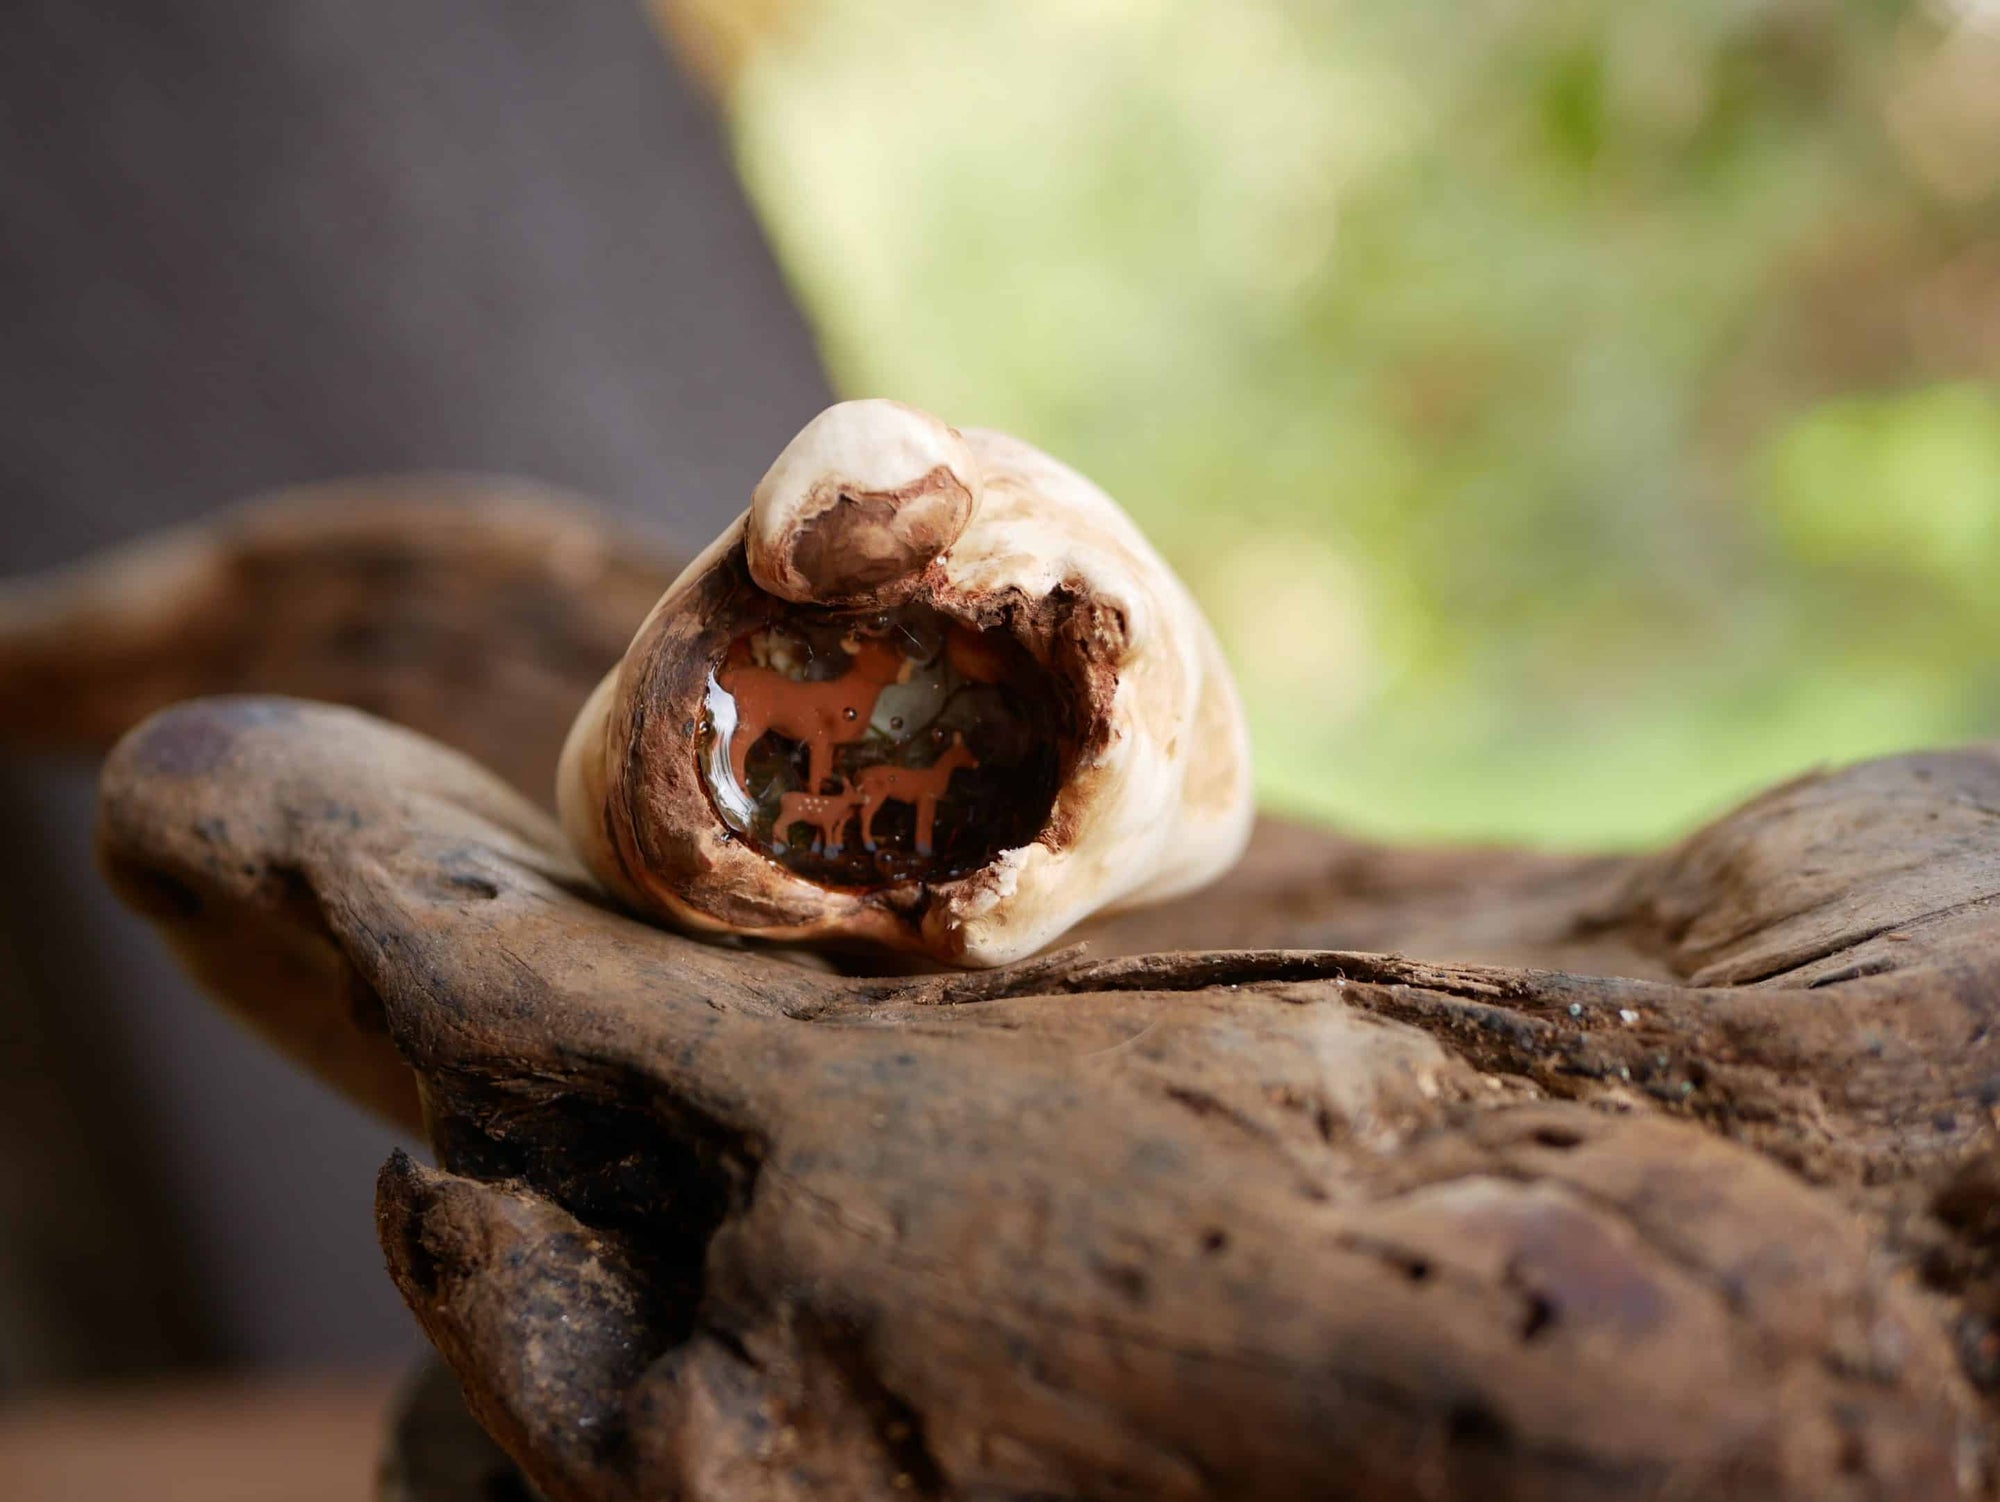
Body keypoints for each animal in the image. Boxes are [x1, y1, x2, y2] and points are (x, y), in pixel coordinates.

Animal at [721, 637, 906, 793]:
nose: (905, 666)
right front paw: (816, 794)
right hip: (754, 718)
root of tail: (733, 677)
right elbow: (816, 773)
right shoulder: (819, 738)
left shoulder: (829, 743)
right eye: (879, 655)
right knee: (735, 747)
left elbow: (825, 768)